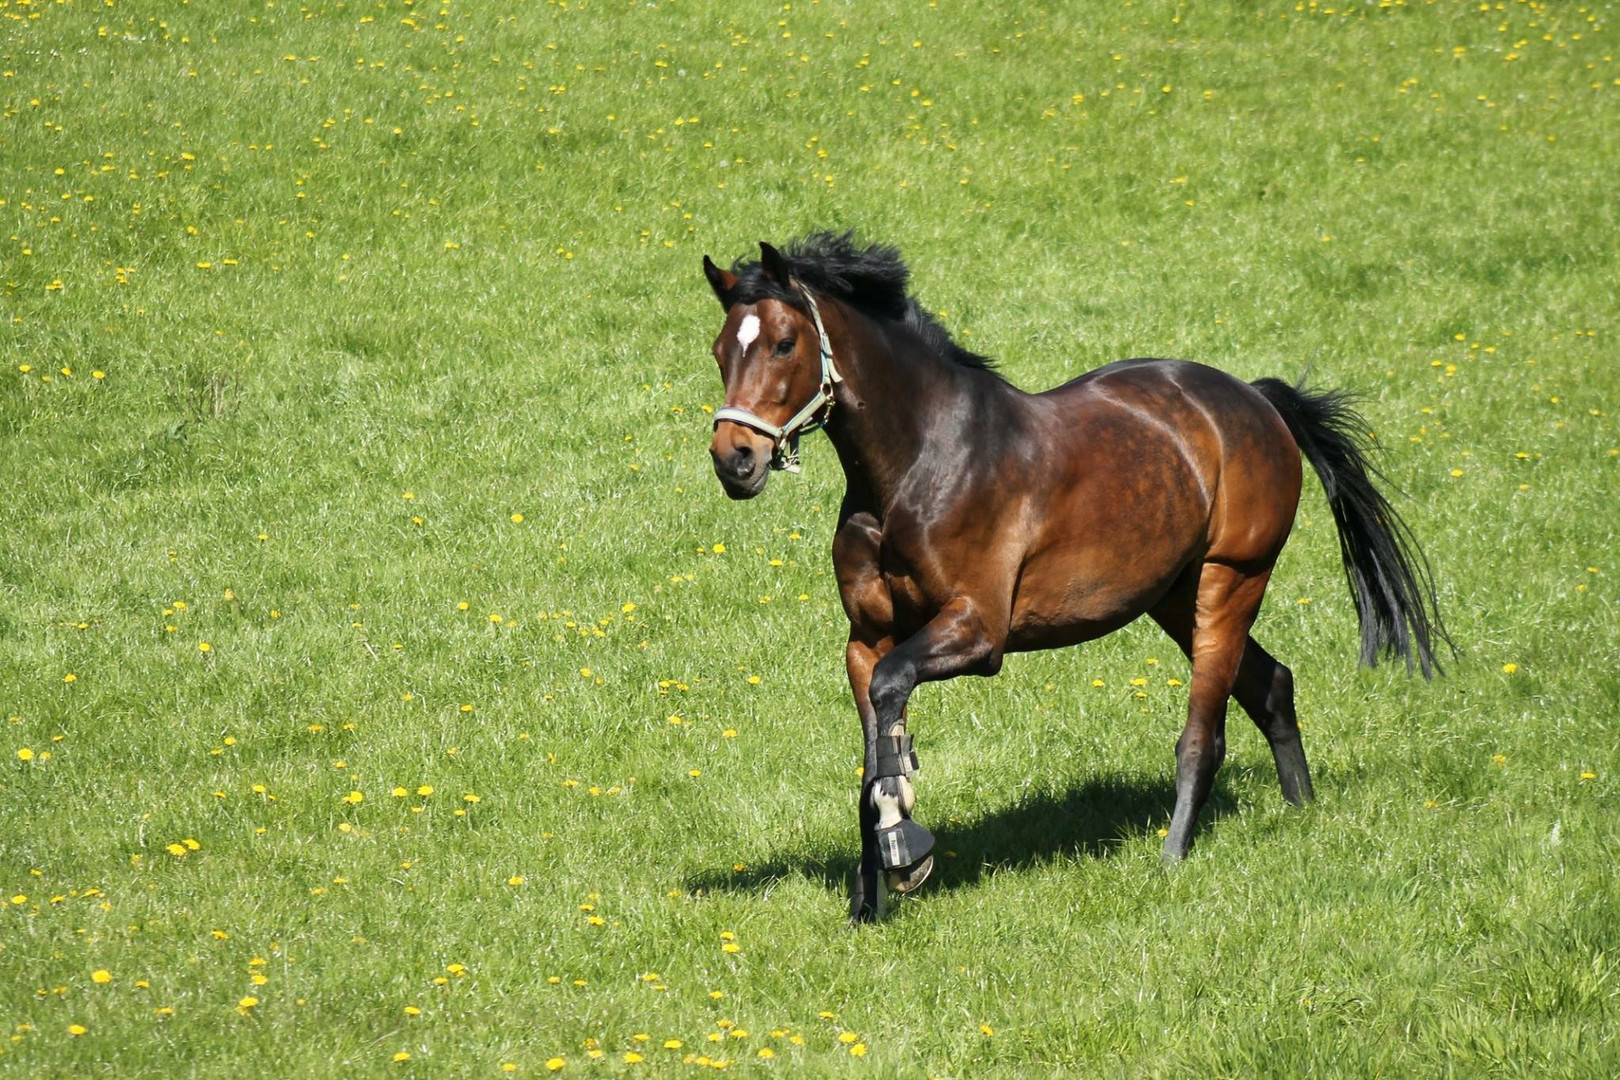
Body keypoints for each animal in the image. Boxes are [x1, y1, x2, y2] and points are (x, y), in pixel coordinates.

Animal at [696, 234, 1445, 919]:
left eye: (784, 343)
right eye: (721, 348)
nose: (735, 459)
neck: (916, 464)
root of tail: (1256, 401)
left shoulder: (979, 631)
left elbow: (892, 695)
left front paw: (906, 847)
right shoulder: (866, 639)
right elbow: (873, 740)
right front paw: (869, 899)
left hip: (1230, 581)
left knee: (1204, 734)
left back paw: (1172, 857)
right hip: (1173, 597)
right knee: (1271, 685)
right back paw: (1301, 810)